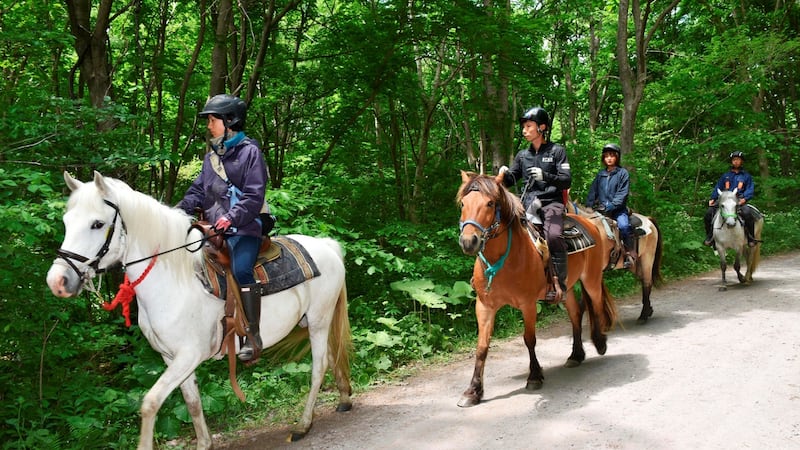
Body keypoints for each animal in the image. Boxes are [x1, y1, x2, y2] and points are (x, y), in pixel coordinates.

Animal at [45, 171, 353, 450]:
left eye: (97, 224)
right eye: (66, 222)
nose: (58, 281)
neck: (175, 279)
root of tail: (326, 245)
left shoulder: (188, 355)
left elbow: (150, 403)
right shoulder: (171, 358)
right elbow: (192, 402)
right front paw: (204, 443)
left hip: (319, 321)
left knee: (318, 367)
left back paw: (303, 425)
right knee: (333, 355)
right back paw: (344, 398)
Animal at [456, 171, 617, 407]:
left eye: (490, 203)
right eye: (463, 204)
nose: (469, 242)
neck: (504, 259)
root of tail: (588, 223)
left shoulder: (528, 304)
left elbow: (529, 339)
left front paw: (534, 376)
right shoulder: (484, 306)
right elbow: (482, 346)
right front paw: (472, 391)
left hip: (591, 279)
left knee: (595, 305)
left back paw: (600, 342)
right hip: (567, 289)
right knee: (576, 314)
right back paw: (576, 355)